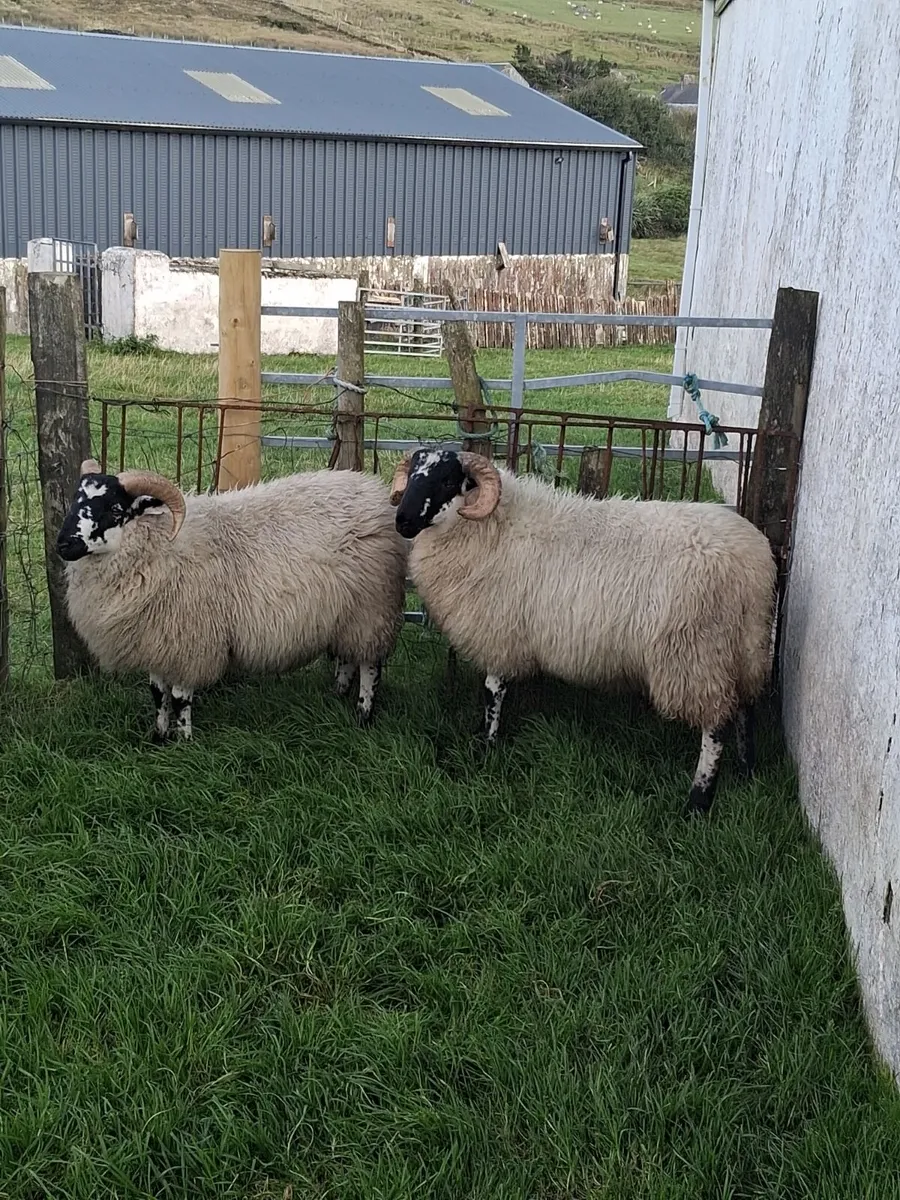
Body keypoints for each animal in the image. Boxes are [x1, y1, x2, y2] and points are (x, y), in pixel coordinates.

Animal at [56, 459, 408, 740]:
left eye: (115, 509)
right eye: (75, 500)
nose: (63, 545)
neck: (159, 544)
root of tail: (371, 489)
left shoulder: (190, 643)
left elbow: (181, 697)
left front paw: (184, 740)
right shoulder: (157, 641)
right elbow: (157, 694)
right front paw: (157, 735)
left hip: (372, 609)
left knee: (370, 665)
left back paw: (363, 714)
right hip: (345, 614)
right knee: (348, 657)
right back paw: (337, 695)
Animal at [390, 447, 777, 815]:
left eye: (446, 480)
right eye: (413, 474)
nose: (403, 521)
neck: (492, 524)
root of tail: (753, 564)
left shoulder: (499, 632)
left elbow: (492, 692)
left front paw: (487, 744)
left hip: (699, 655)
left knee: (716, 726)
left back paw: (699, 799)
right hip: (746, 648)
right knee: (746, 707)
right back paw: (746, 768)